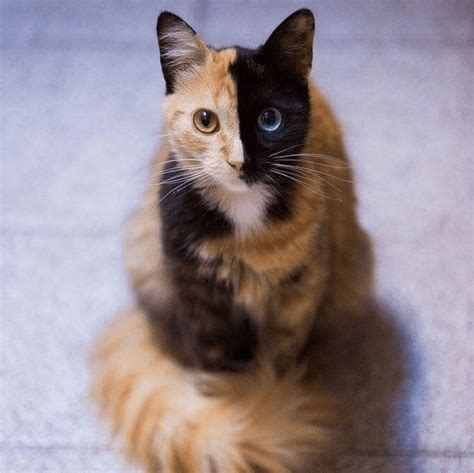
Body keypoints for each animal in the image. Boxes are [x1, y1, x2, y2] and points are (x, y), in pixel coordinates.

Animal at [91, 8, 374, 472]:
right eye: (205, 120)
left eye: (270, 119)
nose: (241, 161)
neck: (244, 230)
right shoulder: (200, 298)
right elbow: (216, 362)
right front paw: (235, 409)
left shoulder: (298, 295)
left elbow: (279, 358)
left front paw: (271, 398)